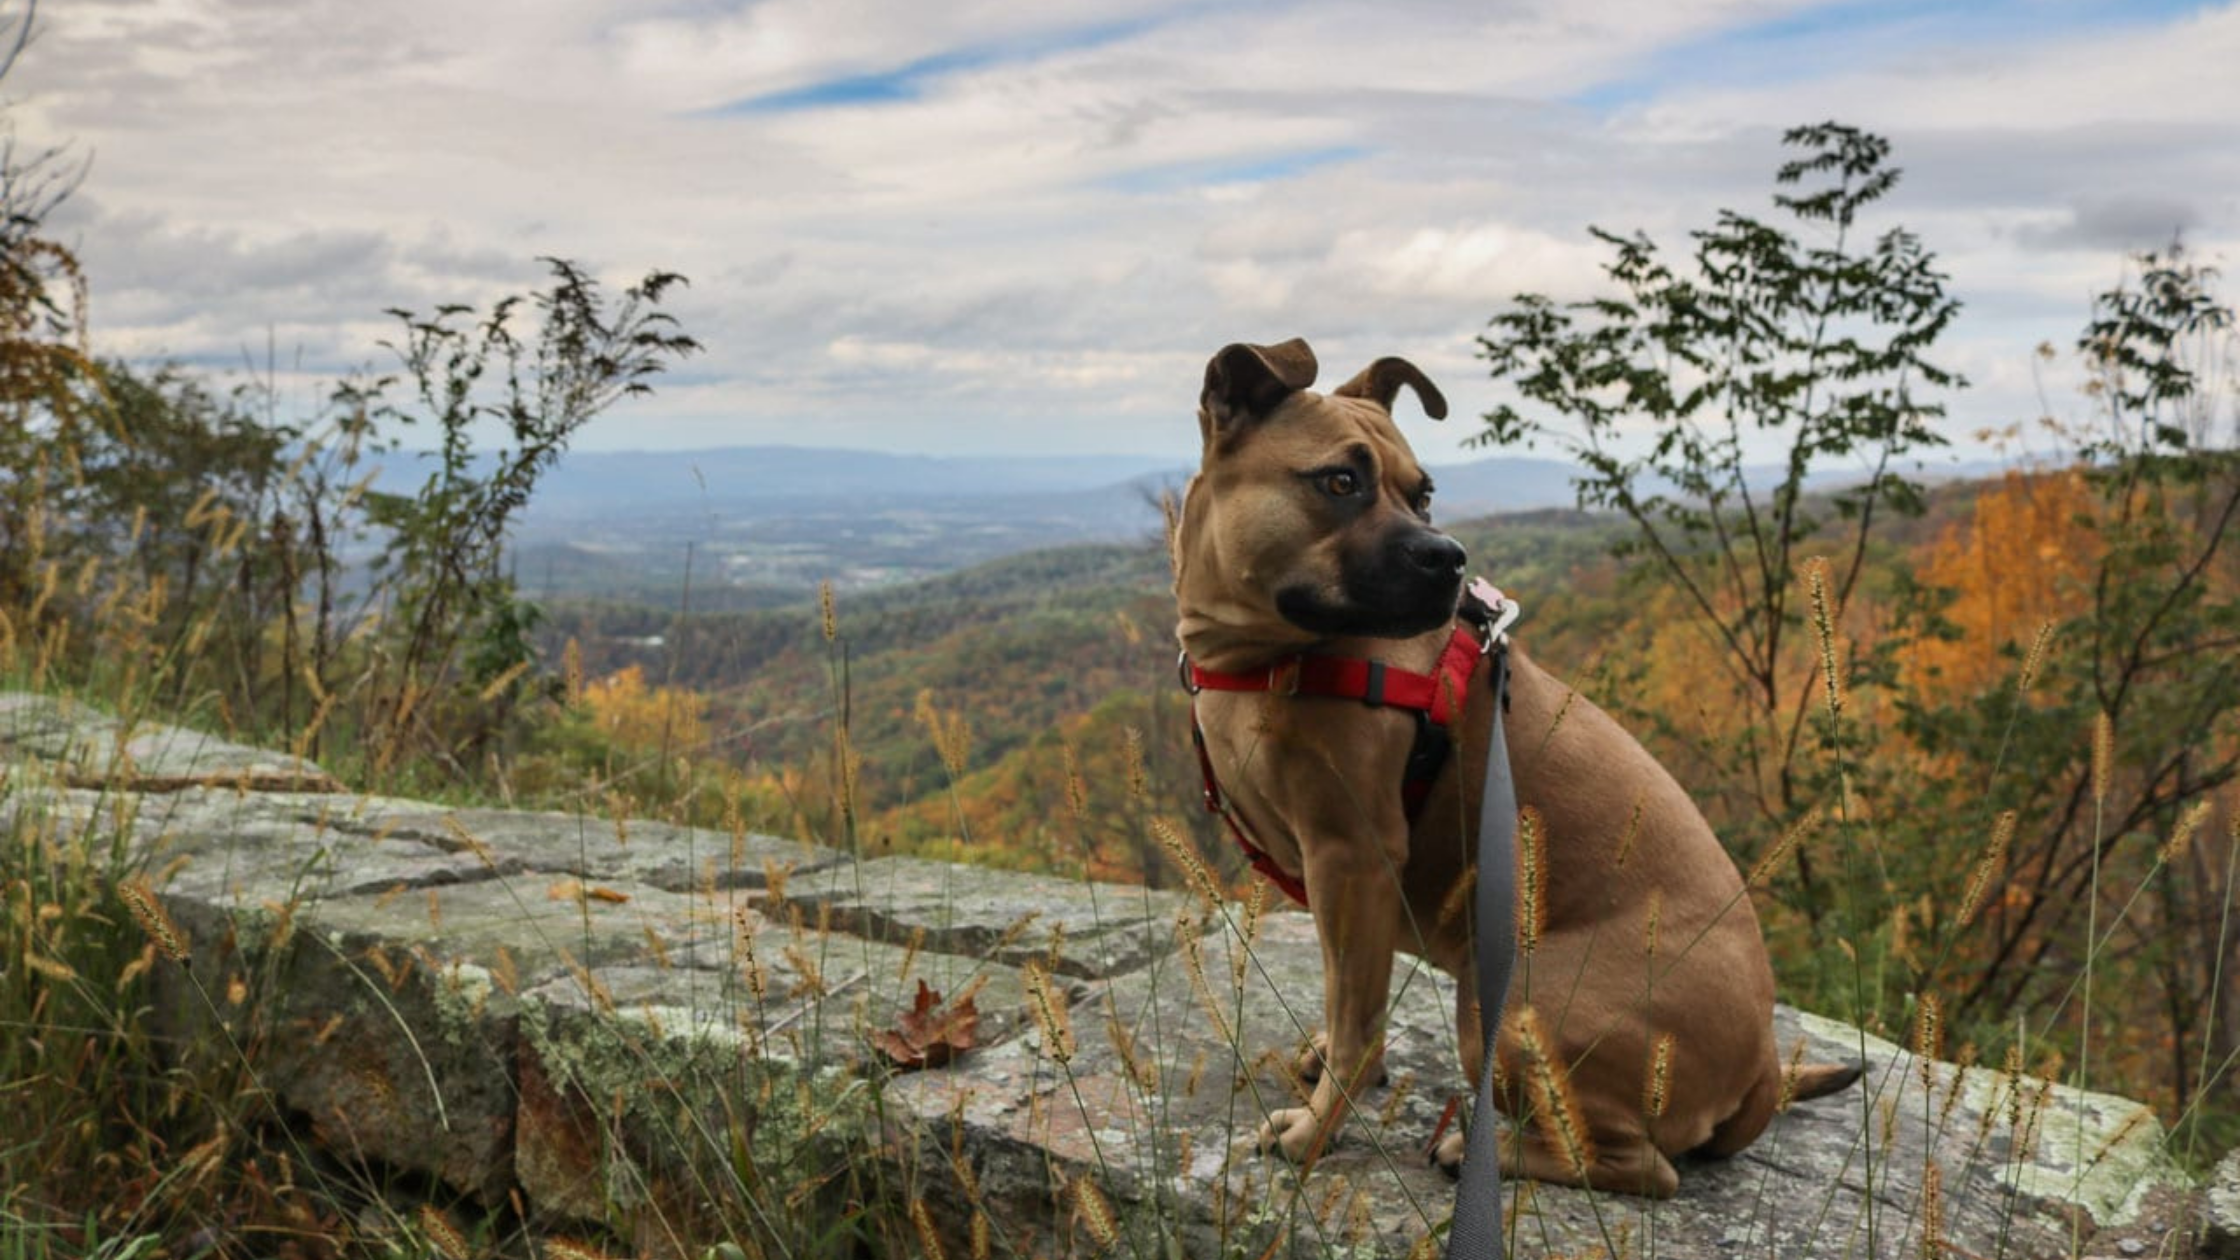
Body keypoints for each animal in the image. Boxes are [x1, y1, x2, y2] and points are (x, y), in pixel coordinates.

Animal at [1173, 338, 1854, 1192]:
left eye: (1423, 494)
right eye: (1340, 482)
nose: (1449, 558)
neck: (1267, 657)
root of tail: (1764, 1065)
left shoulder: (1351, 859)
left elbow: (1358, 1018)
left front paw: (1319, 1126)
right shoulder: (1341, 891)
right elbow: (1344, 993)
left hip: (1502, 1001)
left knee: (1638, 1166)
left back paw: (1482, 1153)